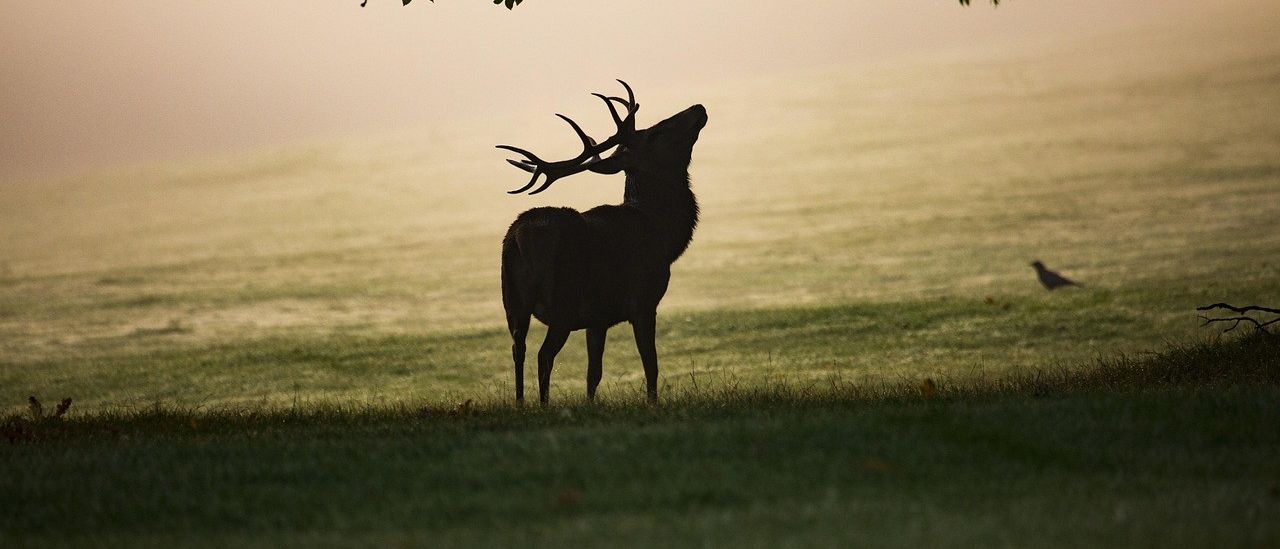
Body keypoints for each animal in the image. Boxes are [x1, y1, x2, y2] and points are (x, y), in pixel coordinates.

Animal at [497, 80, 707, 404]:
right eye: (655, 133)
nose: (698, 108)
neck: (663, 234)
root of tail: (519, 238)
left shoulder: (597, 319)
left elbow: (592, 374)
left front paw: (590, 404)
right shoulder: (643, 300)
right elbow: (651, 364)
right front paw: (652, 403)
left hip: (513, 301)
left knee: (517, 350)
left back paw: (521, 405)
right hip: (563, 300)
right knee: (544, 356)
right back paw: (543, 405)